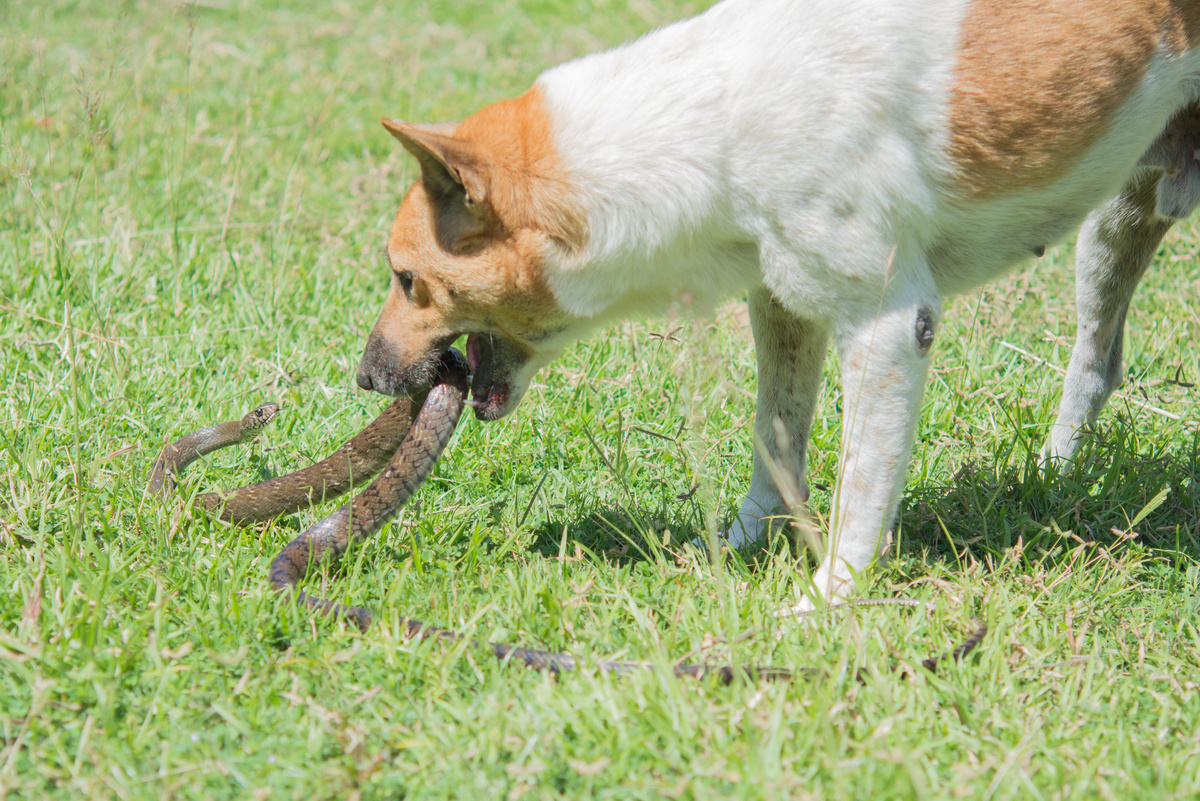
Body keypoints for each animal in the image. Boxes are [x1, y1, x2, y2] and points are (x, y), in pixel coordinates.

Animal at [352, 0, 1200, 606]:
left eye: (405, 279)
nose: (365, 377)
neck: (715, 120)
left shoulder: (890, 327)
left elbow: (861, 482)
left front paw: (830, 598)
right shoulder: (782, 302)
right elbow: (777, 432)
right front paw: (743, 539)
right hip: (1119, 219)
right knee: (1098, 362)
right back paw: (1055, 472)